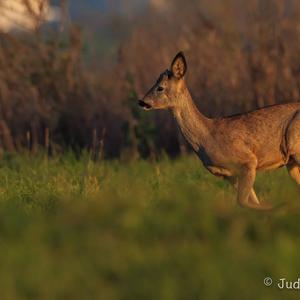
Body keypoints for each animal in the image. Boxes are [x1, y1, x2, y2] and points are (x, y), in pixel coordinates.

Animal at [138, 51, 300, 210]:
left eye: (160, 87)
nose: (141, 102)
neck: (207, 137)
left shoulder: (248, 160)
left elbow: (244, 202)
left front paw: (279, 207)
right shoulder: (230, 175)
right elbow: (251, 202)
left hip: (295, 149)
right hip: (291, 163)